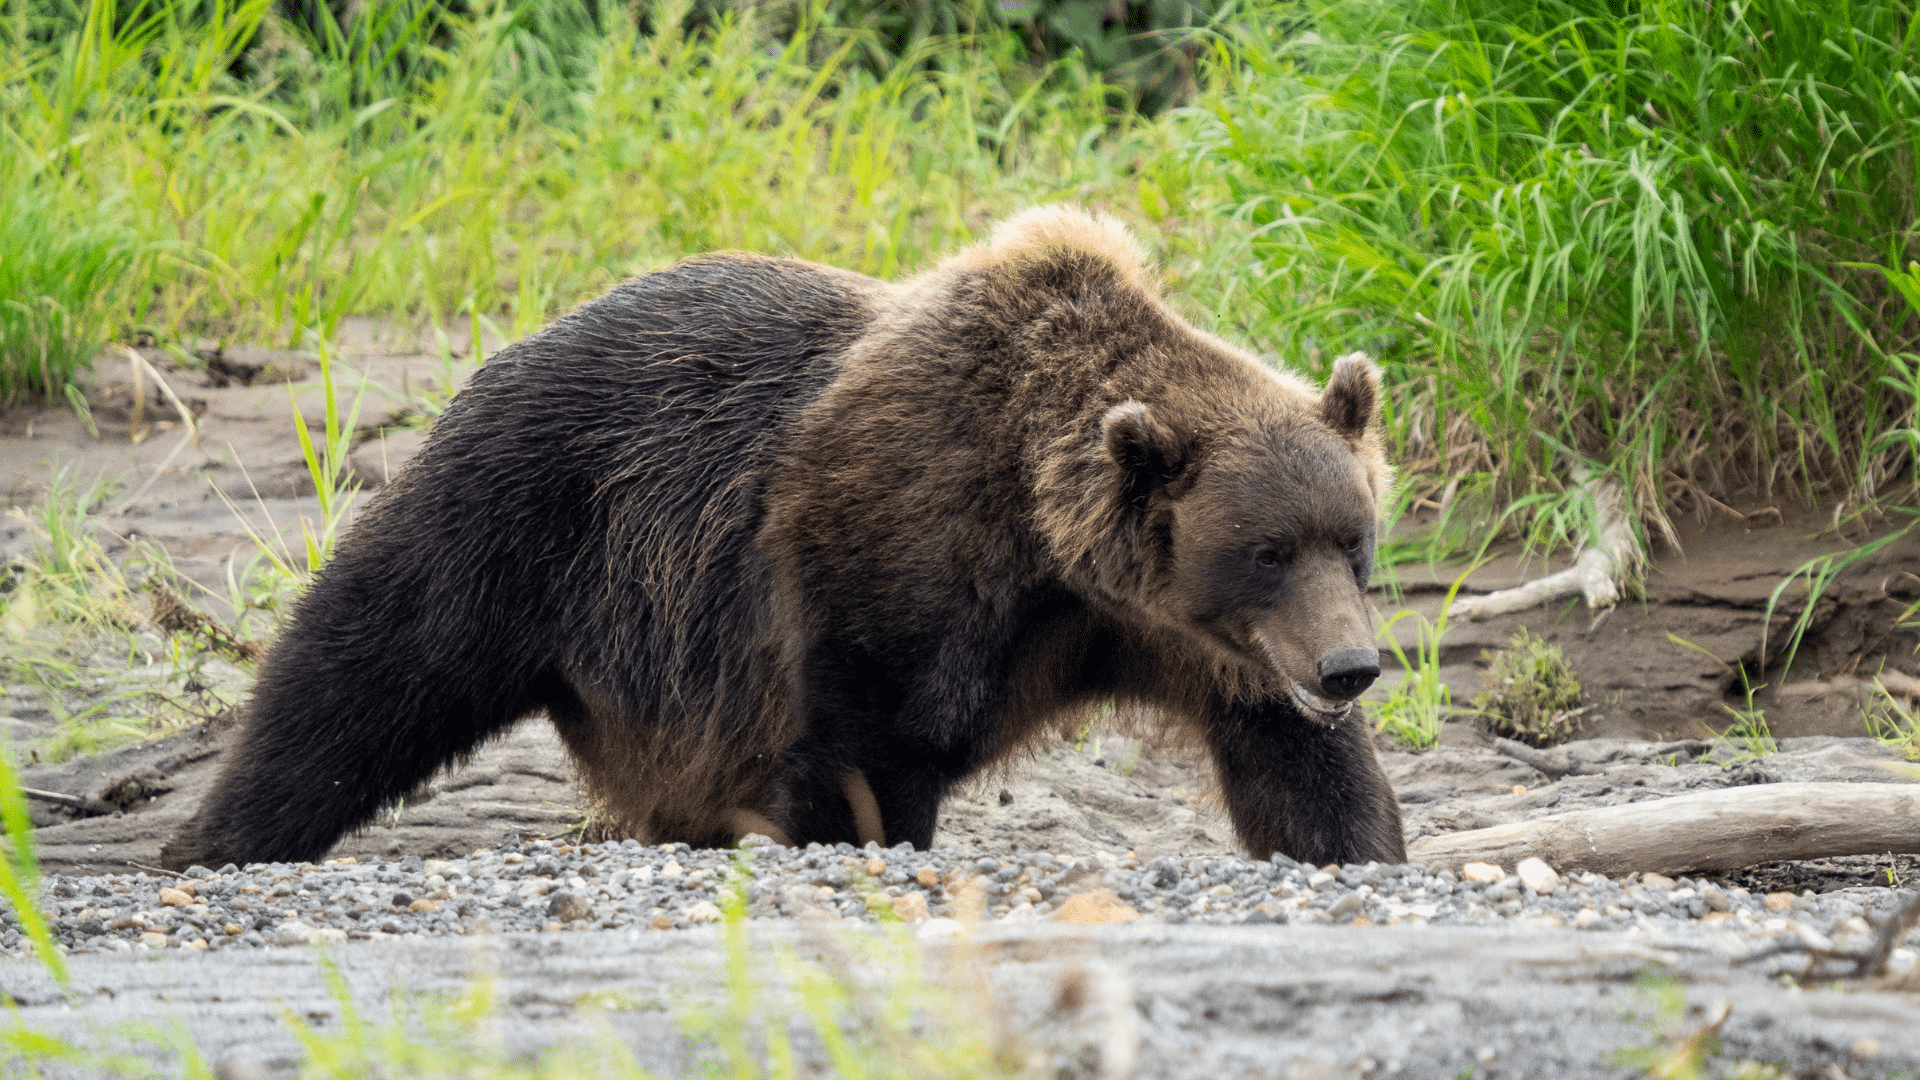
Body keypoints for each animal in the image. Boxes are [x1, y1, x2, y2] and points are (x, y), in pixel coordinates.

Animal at [157, 205, 1405, 868]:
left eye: (1354, 541)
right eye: (1265, 551)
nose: (1351, 665)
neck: (1054, 556)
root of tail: (504, 349)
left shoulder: (1196, 646)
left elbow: (1302, 768)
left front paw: (1355, 841)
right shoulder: (895, 552)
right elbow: (865, 746)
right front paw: (868, 840)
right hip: (523, 512)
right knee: (367, 661)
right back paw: (217, 836)